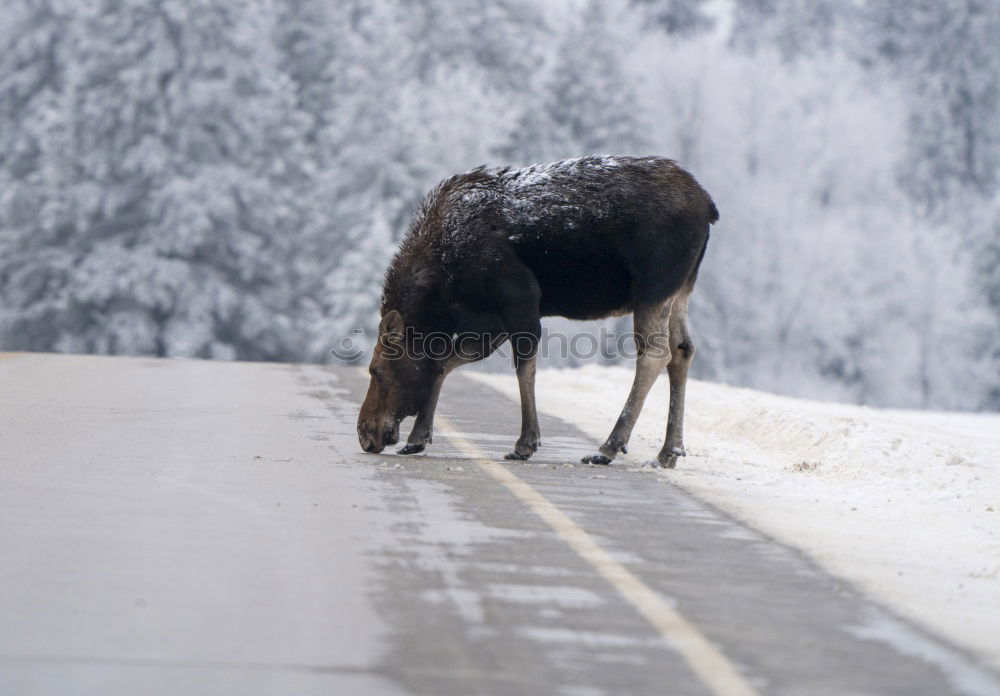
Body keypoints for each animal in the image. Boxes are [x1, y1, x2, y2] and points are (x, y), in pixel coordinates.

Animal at [360, 153, 720, 468]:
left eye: (375, 370)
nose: (365, 433)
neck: (443, 287)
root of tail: (709, 208)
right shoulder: (490, 320)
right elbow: (443, 363)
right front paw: (418, 437)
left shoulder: (517, 299)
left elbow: (522, 368)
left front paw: (525, 443)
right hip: (681, 288)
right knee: (682, 349)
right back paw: (669, 451)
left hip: (653, 286)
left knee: (655, 354)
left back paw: (608, 447)